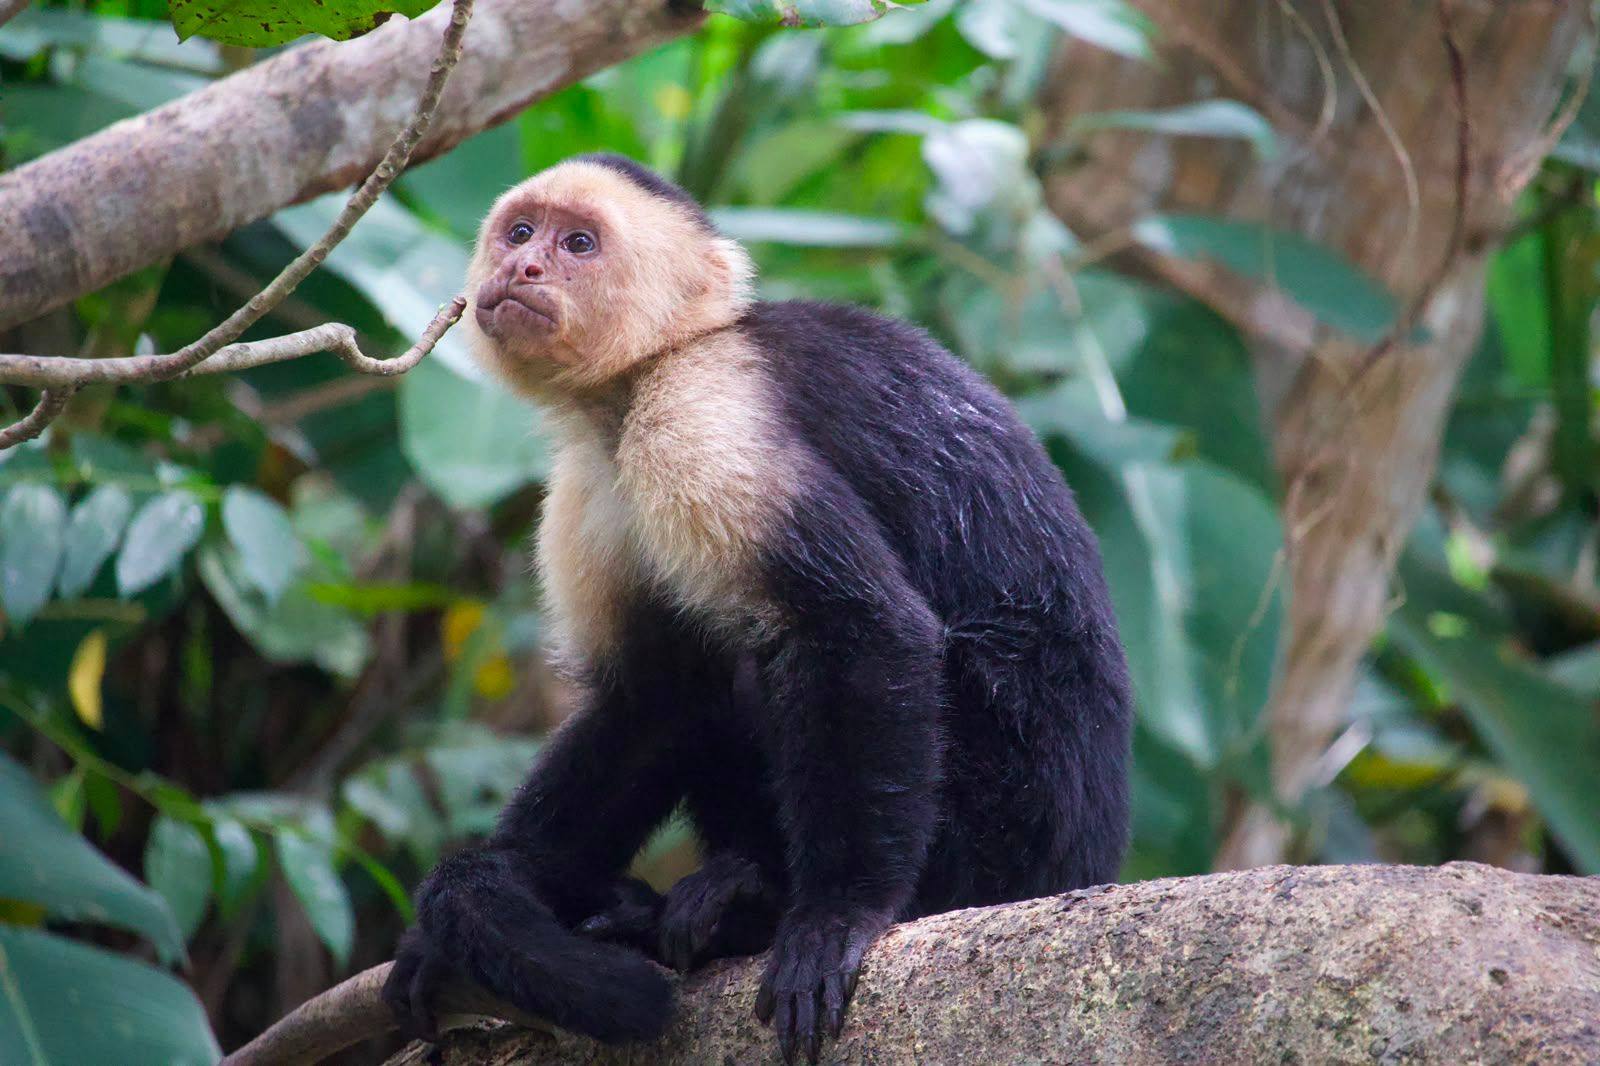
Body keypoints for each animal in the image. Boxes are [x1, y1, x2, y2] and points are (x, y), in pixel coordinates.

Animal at [381, 153, 1133, 1064]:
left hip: (1008, 818)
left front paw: (839, 914)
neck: (640, 380)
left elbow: (860, 630)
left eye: (579, 244)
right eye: (521, 232)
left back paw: (750, 904)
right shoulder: (590, 486)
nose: (521, 267)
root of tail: (1083, 868)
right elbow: (650, 702)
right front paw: (441, 938)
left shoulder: (704, 416)